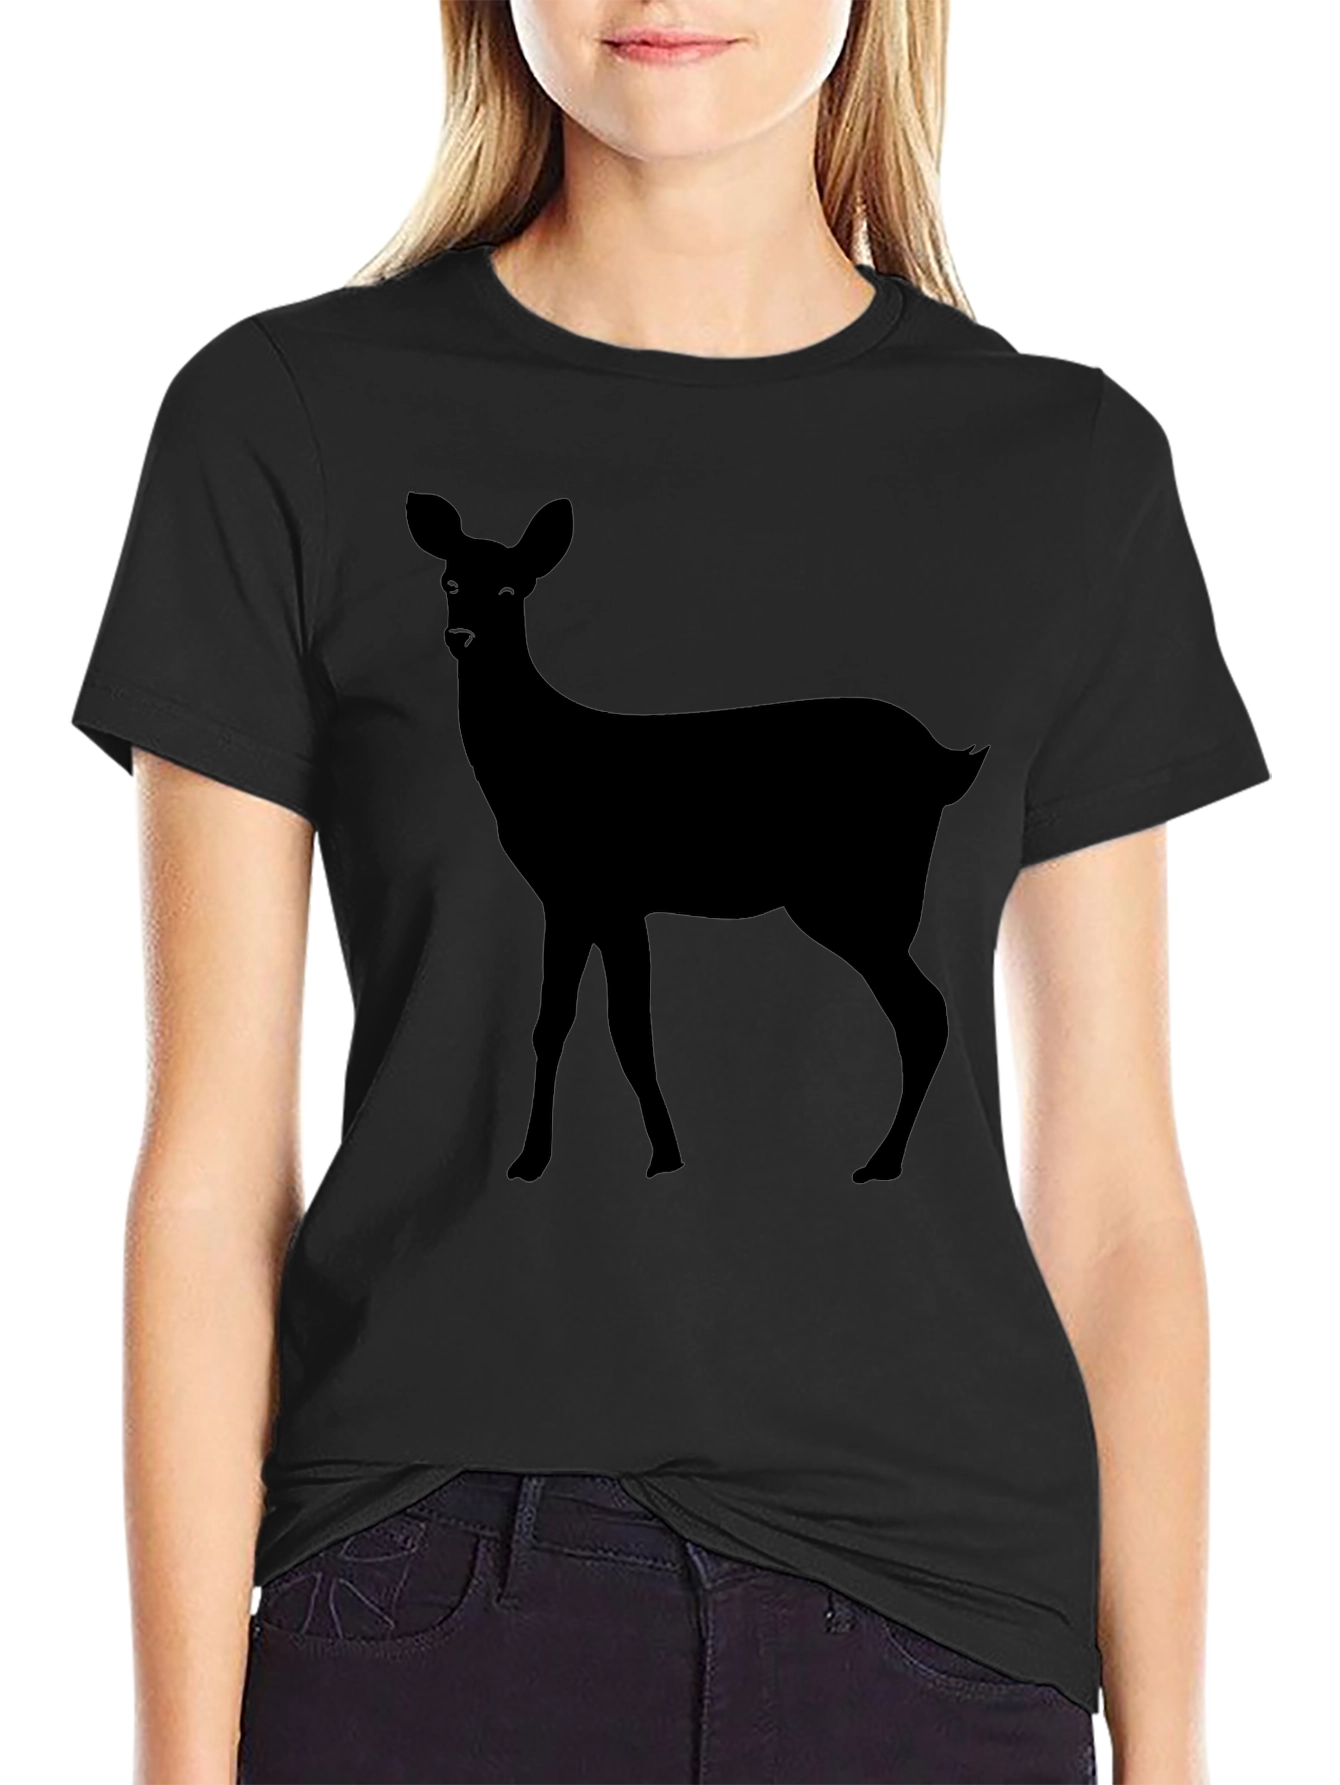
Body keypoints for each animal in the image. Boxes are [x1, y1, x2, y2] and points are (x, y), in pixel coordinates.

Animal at [406, 493, 988, 1185]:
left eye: (508, 588)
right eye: (449, 582)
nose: (459, 637)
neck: (533, 766)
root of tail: (944, 764)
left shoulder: (613, 894)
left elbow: (629, 1030)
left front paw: (663, 1155)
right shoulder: (565, 899)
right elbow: (552, 1024)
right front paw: (531, 1159)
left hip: (848, 893)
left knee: (924, 1011)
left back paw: (881, 1161)